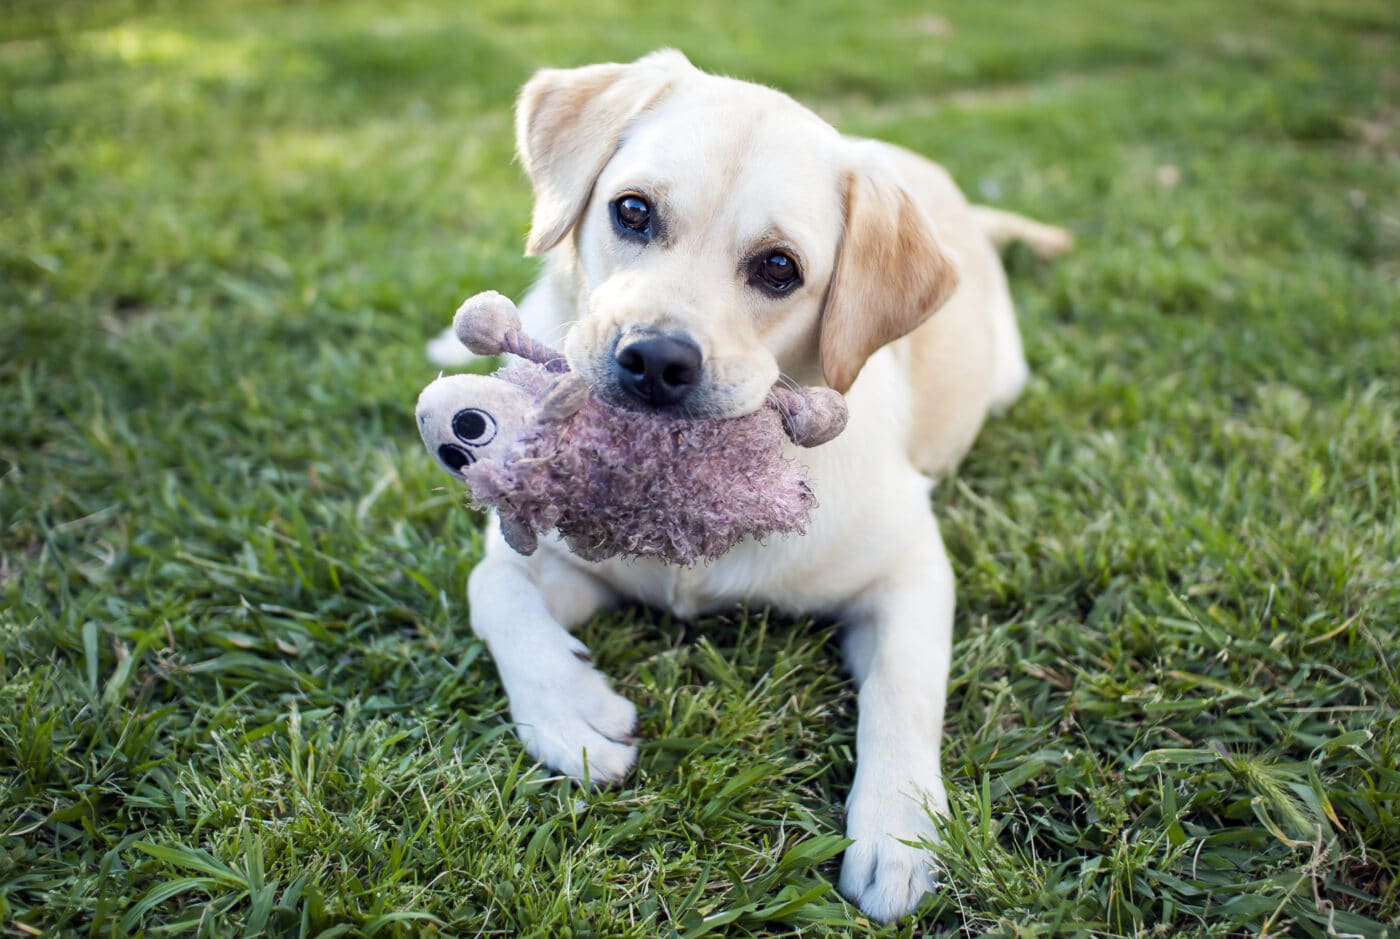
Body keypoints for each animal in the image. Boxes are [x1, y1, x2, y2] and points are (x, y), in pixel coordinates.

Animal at [436, 49, 1069, 918]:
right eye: (632, 211)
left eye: (778, 269)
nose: (654, 359)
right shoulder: (566, 559)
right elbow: (489, 587)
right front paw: (570, 710)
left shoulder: (909, 569)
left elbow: (904, 690)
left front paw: (899, 829)